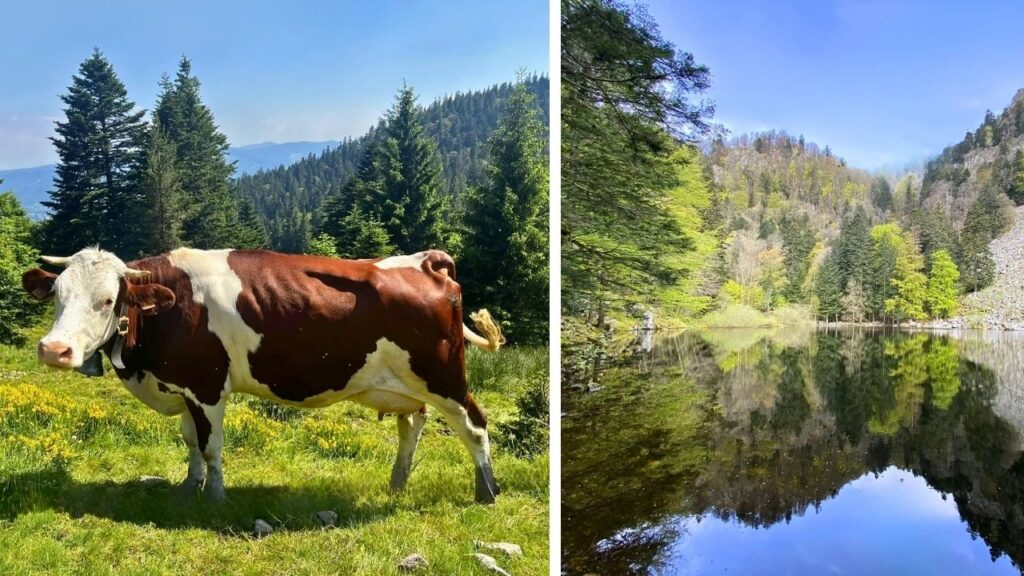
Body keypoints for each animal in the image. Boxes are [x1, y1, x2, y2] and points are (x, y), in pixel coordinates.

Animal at [22, 247, 505, 502]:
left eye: (107, 300)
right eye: (57, 295)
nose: (54, 350)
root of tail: (426, 259)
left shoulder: (207, 386)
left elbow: (210, 445)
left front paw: (215, 497)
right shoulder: (184, 387)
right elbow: (189, 441)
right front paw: (189, 487)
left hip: (446, 378)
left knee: (475, 426)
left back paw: (487, 492)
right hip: (404, 385)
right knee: (413, 425)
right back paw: (397, 483)